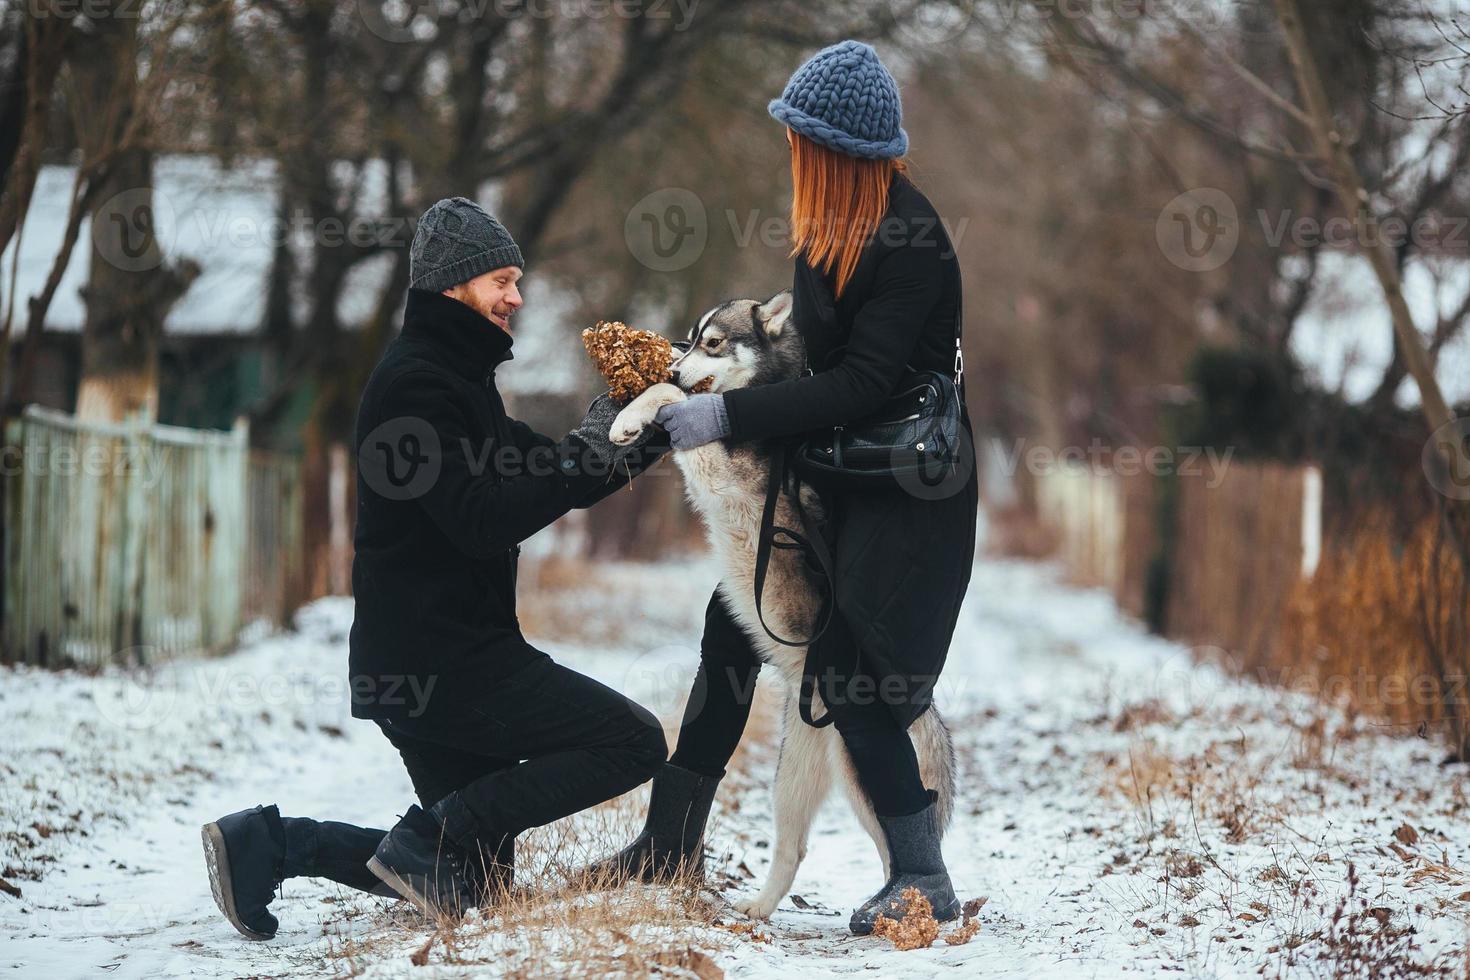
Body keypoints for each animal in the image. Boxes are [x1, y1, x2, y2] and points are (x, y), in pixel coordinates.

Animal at [605, 289, 952, 922]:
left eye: (713, 342)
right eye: (690, 338)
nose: (674, 363)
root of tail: (923, 707)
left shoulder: (718, 461)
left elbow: (679, 404)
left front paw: (633, 413)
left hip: (862, 780)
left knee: (900, 845)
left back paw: (911, 909)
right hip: (792, 778)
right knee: (795, 848)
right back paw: (756, 911)